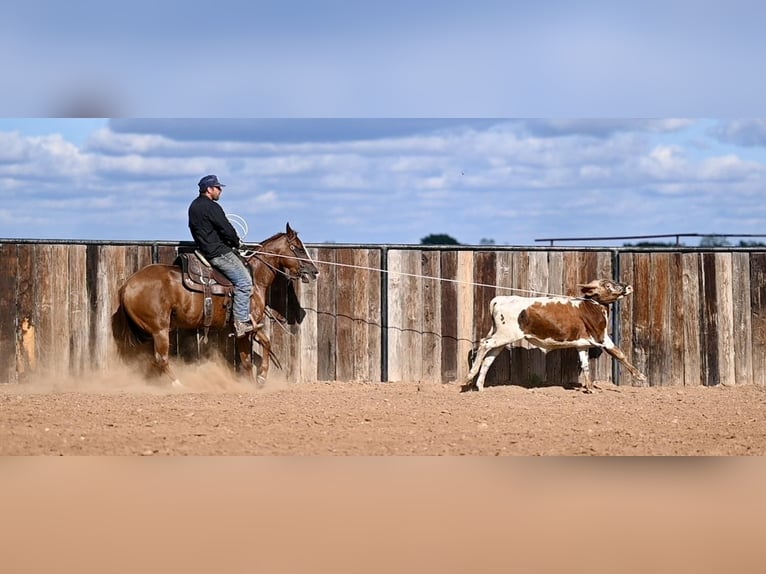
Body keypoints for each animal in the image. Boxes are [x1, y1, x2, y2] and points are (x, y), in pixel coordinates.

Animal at [112, 224, 320, 388]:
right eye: (298, 248)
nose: (314, 271)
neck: (254, 278)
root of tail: (127, 285)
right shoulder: (250, 324)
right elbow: (267, 343)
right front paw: (261, 377)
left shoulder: (240, 330)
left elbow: (246, 360)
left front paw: (250, 383)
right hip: (159, 329)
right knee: (161, 359)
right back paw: (179, 385)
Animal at [462, 278, 648, 394]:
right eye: (608, 285)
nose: (628, 286)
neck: (591, 307)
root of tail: (500, 299)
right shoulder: (601, 338)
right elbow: (620, 354)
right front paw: (641, 376)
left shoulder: (582, 345)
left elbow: (585, 365)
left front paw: (590, 388)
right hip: (505, 334)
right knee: (484, 344)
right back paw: (468, 379)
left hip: (502, 338)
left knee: (489, 358)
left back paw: (479, 386)